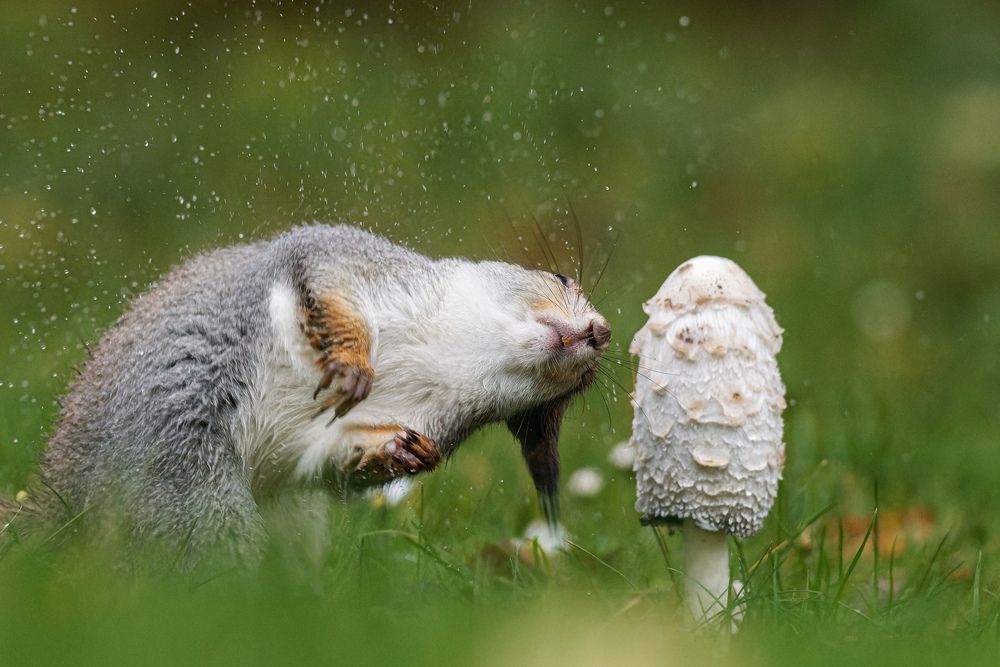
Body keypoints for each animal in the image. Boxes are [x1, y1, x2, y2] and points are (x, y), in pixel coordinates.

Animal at [2, 224, 611, 564]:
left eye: (575, 390)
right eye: (561, 278)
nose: (600, 333)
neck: (461, 359)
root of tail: (69, 494)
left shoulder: (413, 418)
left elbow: (325, 460)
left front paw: (398, 453)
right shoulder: (344, 258)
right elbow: (326, 288)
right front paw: (352, 364)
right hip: (179, 472)